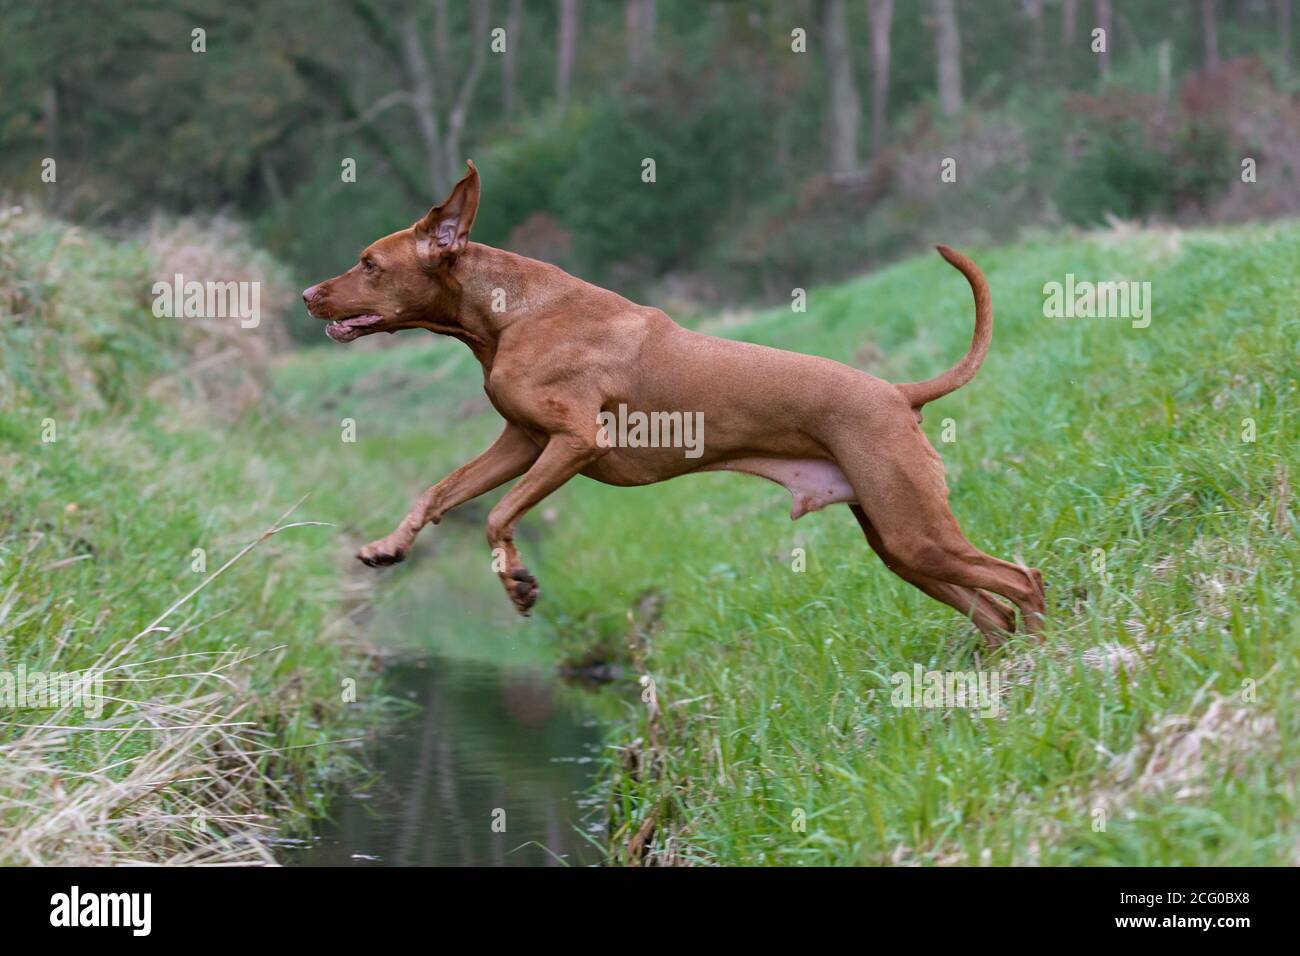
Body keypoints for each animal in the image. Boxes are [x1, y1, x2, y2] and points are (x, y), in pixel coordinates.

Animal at [304, 162, 1045, 642]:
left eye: (369, 263)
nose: (308, 294)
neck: (509, 312)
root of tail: (897, 390)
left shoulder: (574, 442)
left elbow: (496, 516)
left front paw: (516, 579)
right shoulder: (521, 441)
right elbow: (439, 492)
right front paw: (386, 546)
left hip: (915, 530)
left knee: (1024, 579)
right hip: (898, 543)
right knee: (996, 611)